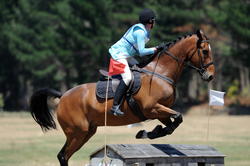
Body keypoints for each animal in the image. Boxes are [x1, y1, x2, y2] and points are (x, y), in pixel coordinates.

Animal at [30, 29, 215, 165]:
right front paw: (147, 133)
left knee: (64, 155)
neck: (161, 73)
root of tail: (63, 96)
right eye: (205, 51)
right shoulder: (151, 108)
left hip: (87, 132)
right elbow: (178, 117)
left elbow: (172, 124)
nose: (210, 76)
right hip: (76, 132)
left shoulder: (160, 111)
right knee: (63, 155)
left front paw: (148, 133)